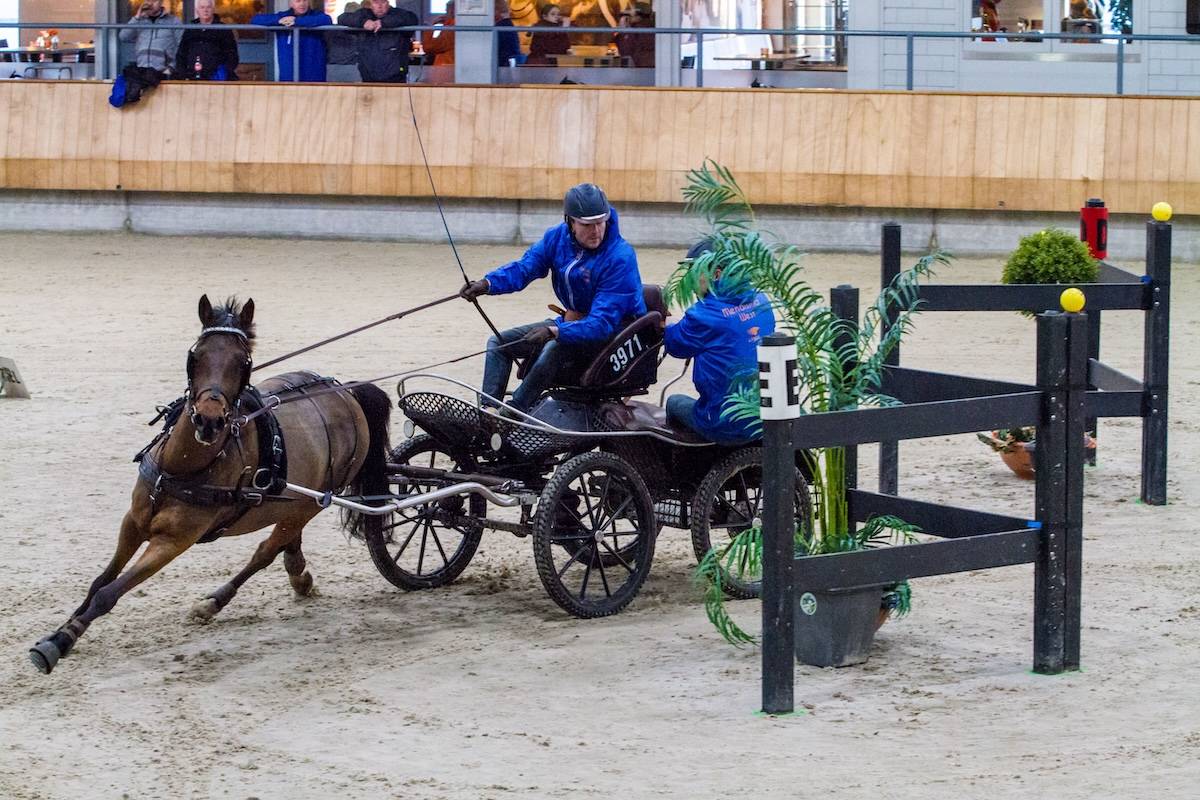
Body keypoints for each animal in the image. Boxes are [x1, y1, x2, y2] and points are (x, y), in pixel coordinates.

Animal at [29, 295, 391, 674]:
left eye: (244, 361)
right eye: (196, 355)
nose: (208, 420)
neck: (181, 467)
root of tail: (346, 392)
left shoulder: (173, 542)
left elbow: (109, 592)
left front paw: (58, 643)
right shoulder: (133, 522)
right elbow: (100, 580)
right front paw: (63, 629)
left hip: (312, 502)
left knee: (265, 551)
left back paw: (216, 601)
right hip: (297, 499)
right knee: (287, 537)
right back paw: (298, 574)